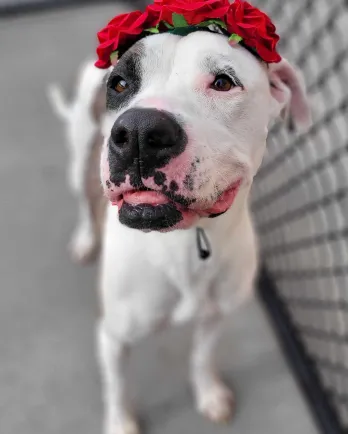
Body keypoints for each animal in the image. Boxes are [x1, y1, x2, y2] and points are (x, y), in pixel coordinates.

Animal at [47, 29, 310, 434]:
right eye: (119, 84)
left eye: (223, 82)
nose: (139, 131)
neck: (182, 241)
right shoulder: (112, 336)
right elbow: (117, 387)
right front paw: (121, 423)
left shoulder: (216, 316)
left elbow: (202, 357)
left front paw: (209, 394)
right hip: (79, 161)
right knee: (84, 200)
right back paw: (86, 239)